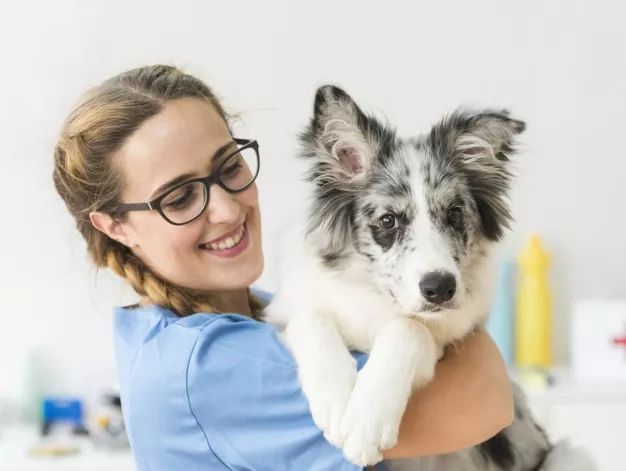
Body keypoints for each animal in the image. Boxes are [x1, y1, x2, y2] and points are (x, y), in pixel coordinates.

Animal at [262, 85, 596, 471]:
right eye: (389, 220)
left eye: (454, 214)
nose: (441, 288)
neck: (377, 299)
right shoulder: (288, 310)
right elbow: (311, 319)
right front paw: (336, 399)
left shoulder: (442, 343)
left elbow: (410, 329)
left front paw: (365, 422)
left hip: (568, 455)